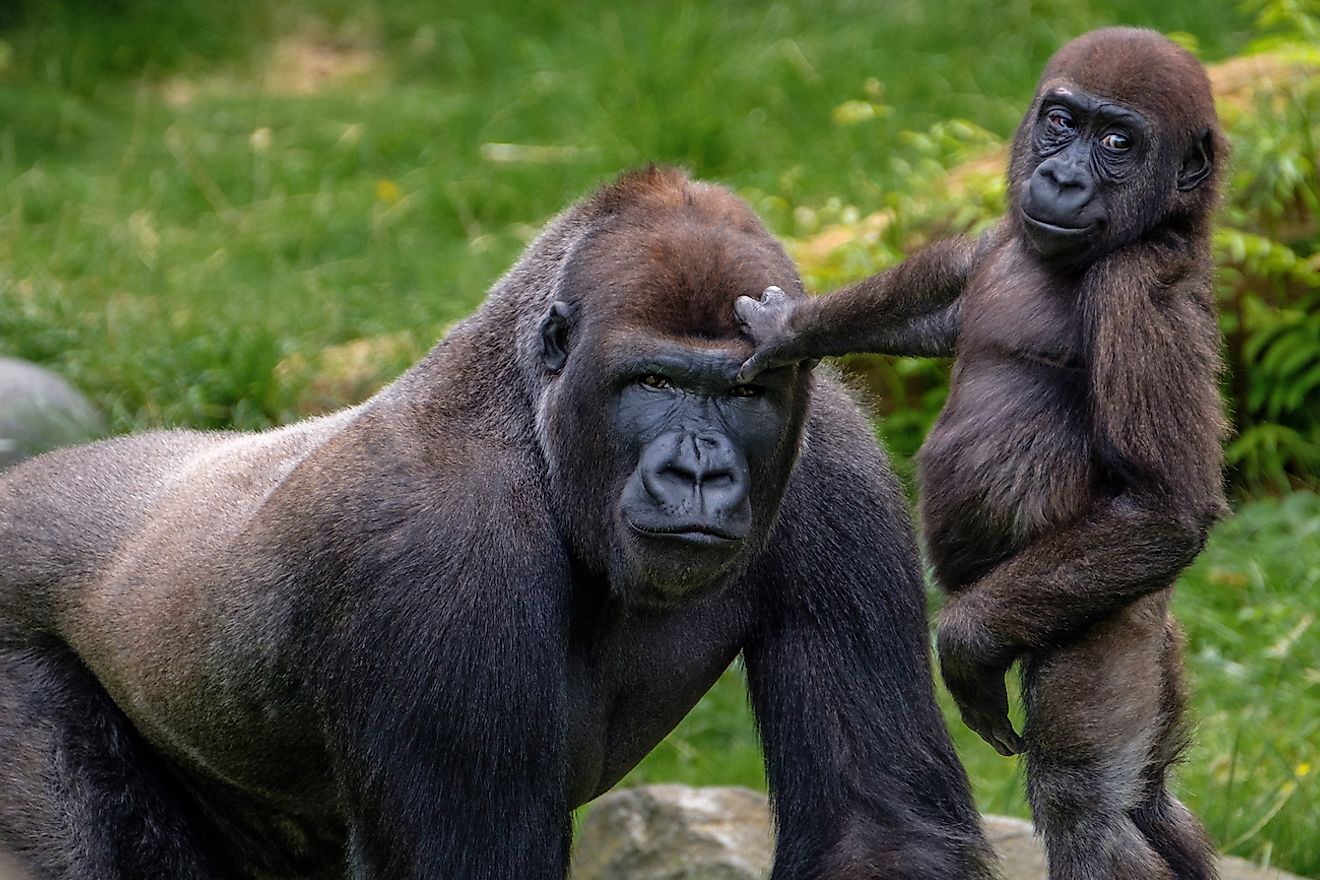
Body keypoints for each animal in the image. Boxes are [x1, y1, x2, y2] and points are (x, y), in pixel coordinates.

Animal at [0, 166, 992, 880]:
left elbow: (877, 829)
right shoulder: (441, 552)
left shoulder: (835, 463)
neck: (527, 415)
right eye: (653, 381)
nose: (699, 471)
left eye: (744, 392)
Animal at [744, 27, 1224, 880]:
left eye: (1118, 142)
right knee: (1153, 796)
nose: (1061, 177)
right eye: (1061, 122)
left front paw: (964, 646)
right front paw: (791, 330)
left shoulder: (1142, 291)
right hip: (1161, 648)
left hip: (1112, 623)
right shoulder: (1000, 241)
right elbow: (941, 297)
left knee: (1086, 807)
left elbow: (1164, 505)